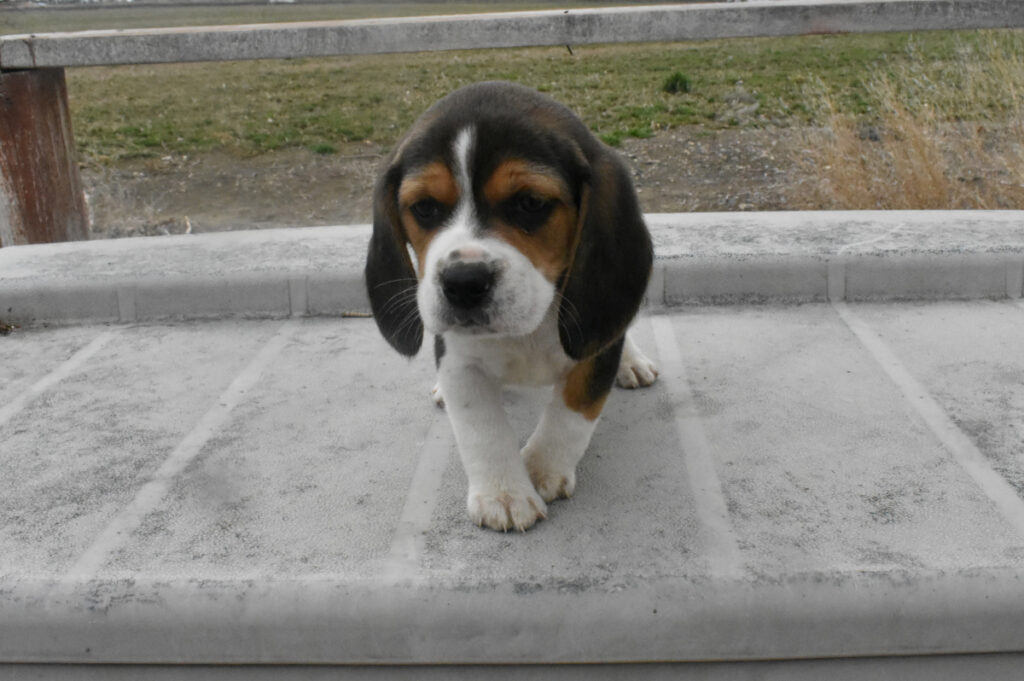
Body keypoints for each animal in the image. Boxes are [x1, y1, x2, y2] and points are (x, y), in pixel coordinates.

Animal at [365, 81, 657, 531]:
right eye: (425, 207)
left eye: (531, 203)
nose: (463, 283)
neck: (526, 330)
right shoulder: (459, 362)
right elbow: (481, 429)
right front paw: (504, 494)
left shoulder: (592, 356)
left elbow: (573, 412)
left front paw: (540, 469)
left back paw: (633, 361)